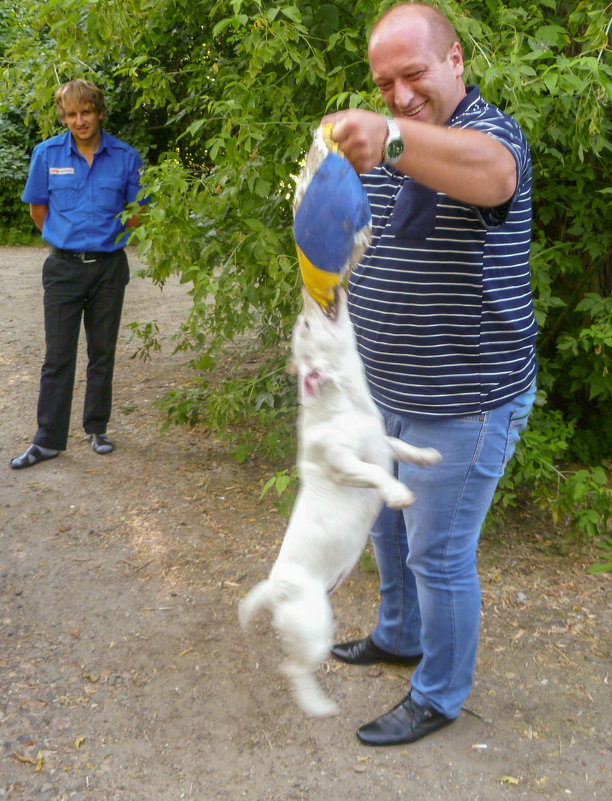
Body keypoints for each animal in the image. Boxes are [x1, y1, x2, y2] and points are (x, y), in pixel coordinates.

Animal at [239, 290, 440, 720]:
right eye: (306, 324)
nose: (306, 295)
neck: (346, 399)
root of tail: (275, 590)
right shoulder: (345, 464)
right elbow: (377, 474)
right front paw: (398, 493)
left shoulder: (383, 442)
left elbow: (402, 448)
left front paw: (427, 456)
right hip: (315, 629)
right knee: (293, 669)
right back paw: (317, 705)